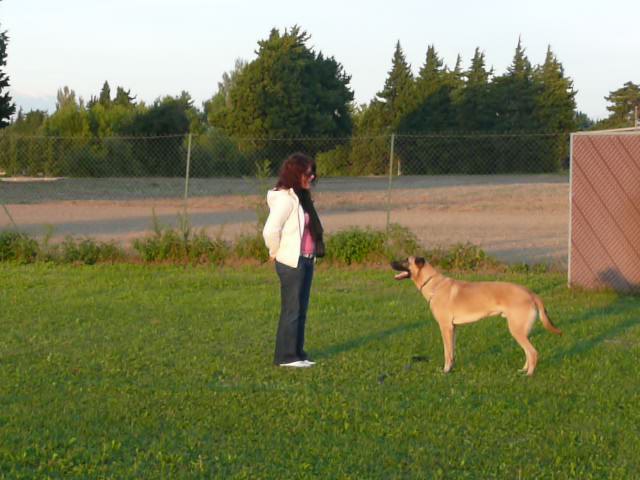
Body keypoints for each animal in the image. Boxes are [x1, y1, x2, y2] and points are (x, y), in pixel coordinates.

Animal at [390, 256, 560, 376]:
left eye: (406, 260)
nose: (391, 262)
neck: (433, 284)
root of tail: (531, 294)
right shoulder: (453, 328)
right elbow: (452, 352)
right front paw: (452, 368)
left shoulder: (445, 327)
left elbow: (446, 352)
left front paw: (446, 371)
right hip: (521, 330)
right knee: (528, 352)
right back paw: (524, 370)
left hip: (516, 330)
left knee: (533, 352)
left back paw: (529, 374)